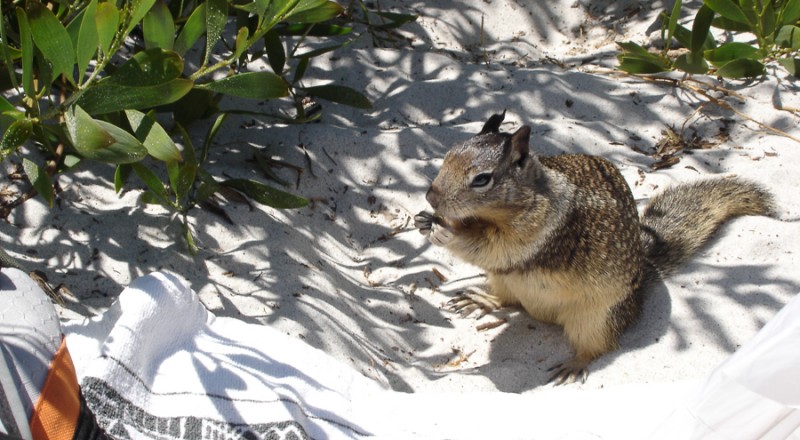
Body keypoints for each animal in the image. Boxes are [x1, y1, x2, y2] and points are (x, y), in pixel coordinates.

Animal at [415, 111, 774, 385]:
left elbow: (492, 247)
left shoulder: (539, 233)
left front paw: (447, 233)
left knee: (598, 346)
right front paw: (424, 220)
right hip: (504, 281)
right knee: (507, 300)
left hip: (596, 319)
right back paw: (480, 299)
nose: (431, 197)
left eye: (482, 179)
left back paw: (574, 365)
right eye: (447, 156)